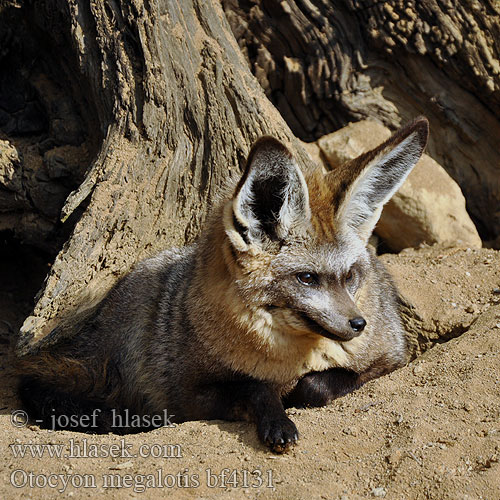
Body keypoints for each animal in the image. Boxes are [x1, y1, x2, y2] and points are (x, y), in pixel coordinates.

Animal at [17, 117, 428, 454]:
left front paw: (299, 393)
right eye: (307, 278)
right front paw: (277, 418)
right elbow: (252, 387)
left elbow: (323, 384)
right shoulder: (187, 396)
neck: (286, 358)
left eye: (351, 275)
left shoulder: (394, 356)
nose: (358, 324)